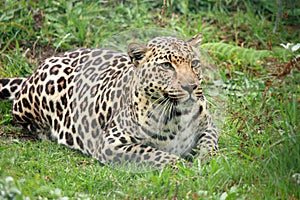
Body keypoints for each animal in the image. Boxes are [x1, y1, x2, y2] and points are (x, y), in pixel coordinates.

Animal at [1, 33, 219, 169]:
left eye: (194, 64)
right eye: (166, 66)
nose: (191, 87)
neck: (175, 115)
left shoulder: (209, 125)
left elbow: (209, 142)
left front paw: (206, 159)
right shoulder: (111, 143)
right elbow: (151, 153)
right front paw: (181, 165)